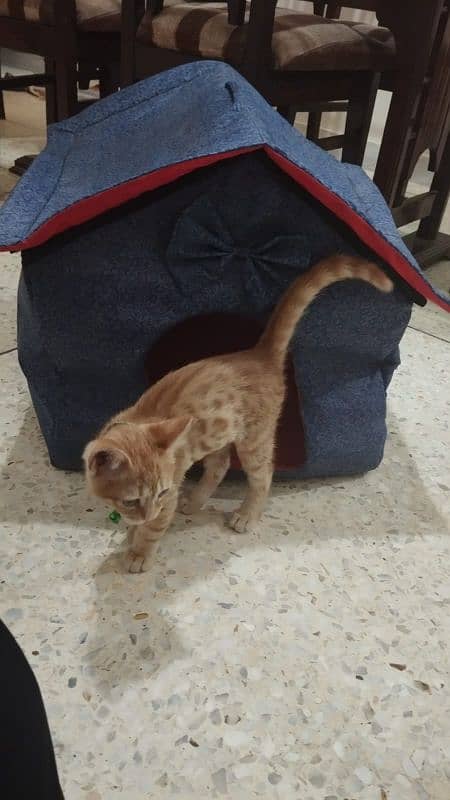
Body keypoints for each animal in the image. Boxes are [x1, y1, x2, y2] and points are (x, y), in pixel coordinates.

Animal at [85, 253, 394, 572]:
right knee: (220, 465)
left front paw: (140, 552)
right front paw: (133, 533)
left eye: (162, 493)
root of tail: (258, 354)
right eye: (131, 501)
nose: (150, 511)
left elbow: (154, 529)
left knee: (263, 475)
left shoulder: (168, 492)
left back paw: (247, 515)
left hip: (255, 441)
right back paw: (195, 501)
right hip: (215, 433)